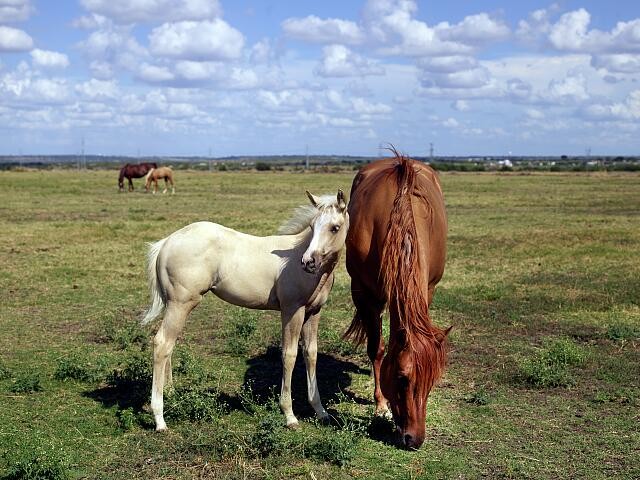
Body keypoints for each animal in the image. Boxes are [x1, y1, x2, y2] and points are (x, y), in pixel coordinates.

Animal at [141, 190, 349, 431]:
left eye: (334, 227)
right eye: (313, 226)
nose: (308, 261)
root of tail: (166, 242)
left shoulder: (313, 313)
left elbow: (311, 354)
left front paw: (320, 411)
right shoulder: (292, 310)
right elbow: (289, 355)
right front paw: (290, 416)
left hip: (174, 306)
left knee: (169, 345)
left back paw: (171, 393)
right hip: (180, 304)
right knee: (162, 344)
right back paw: (159, 418)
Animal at [344, 150, 450, 450]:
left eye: (433, 381)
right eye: (402, 379)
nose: (414, 439)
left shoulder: (428, 290)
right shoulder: (365, 293)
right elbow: (377, 349)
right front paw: (381, 404)